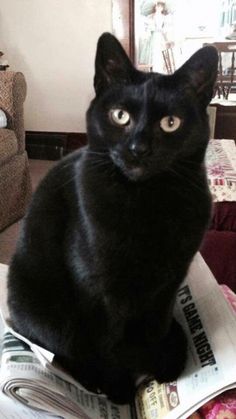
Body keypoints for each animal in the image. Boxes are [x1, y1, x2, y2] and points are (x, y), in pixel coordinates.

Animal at [6, 34, 218, 406]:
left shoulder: (167, 287)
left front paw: (154, 380)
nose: (138, 149)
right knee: (64, 350)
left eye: (170, 123)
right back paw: (94, 382)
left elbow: (153, 331)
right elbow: (109, 347)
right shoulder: (100, 294)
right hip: (42, 310)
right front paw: (122, 392)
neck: (146, 201)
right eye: (120, 116)